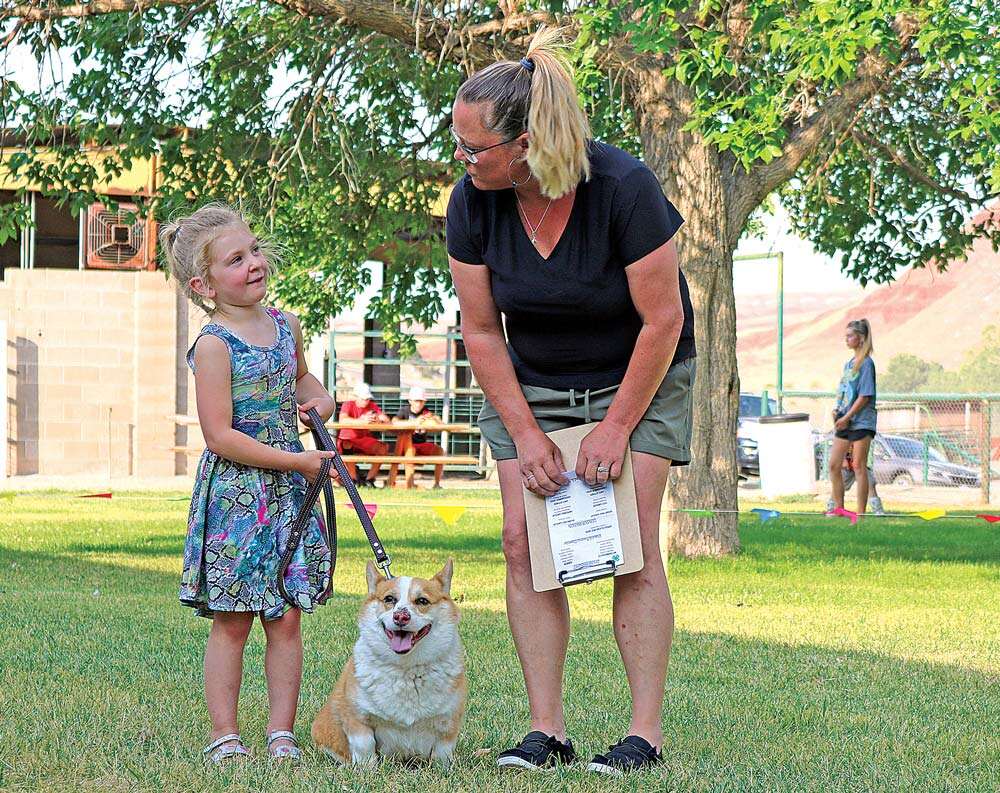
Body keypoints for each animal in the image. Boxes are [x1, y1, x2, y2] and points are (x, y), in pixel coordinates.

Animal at [312, 556, 464, 768]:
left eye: (422, 601)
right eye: (389, 599)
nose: (400, 616)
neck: (406, 669)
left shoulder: (448, 724)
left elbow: (442, 753)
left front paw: (442, 771)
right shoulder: (357, 719)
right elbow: (365, 746)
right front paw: (366, 770)